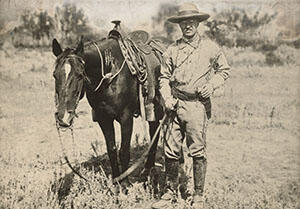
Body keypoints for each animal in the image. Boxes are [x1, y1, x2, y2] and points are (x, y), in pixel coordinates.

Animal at [51, 35, 164, 186]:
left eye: (80, 75)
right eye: (54, 75)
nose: (63, 117)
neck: (109, 75)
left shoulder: (126, 117)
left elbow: (124, 151)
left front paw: (125, 183)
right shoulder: (103, 118)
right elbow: (111, 150)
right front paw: (116, 181)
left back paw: (147, 171)